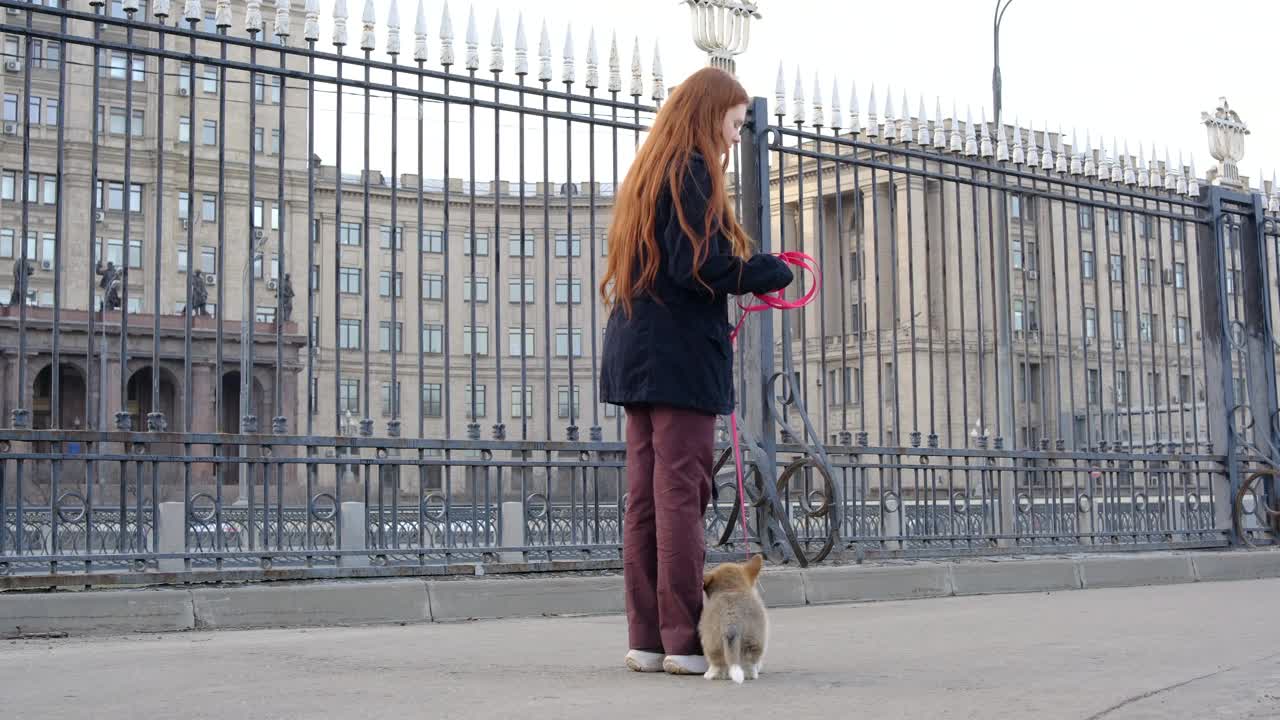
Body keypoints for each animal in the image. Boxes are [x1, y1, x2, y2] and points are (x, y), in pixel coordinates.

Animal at [701, 550, 768, 681]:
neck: (731, 589)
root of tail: (731, 621)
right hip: (753, 640)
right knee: (749, 662)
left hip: (712, 642)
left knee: (718, 663)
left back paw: (710, 674)